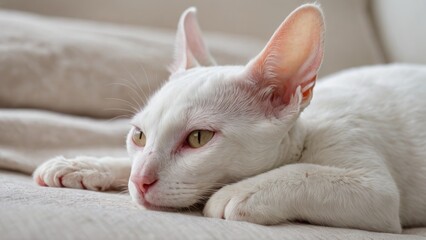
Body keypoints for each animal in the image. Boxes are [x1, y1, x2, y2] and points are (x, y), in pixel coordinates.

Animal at [33, 3, 426, 232]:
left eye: (198, 138)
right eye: (139, 136)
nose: (141, 182)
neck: (306, 136)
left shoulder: (374, 188)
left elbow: (306, 172)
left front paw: (241, 192)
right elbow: (123, 164)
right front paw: (84, 165)